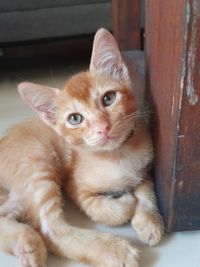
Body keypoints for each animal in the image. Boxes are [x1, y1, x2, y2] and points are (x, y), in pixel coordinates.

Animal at [0, 28, 163, 266]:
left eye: (109, 98)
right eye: (75, 119)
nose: (103, 127)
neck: (117, 156)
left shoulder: (144, 168)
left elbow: (146, 190)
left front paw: (150, 221)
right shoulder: (74, 187)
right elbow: (100, 209)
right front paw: (125, 204)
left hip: (22, 189)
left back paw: (25, 243)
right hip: (39, 161)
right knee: (50, 230)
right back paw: (113, 250)